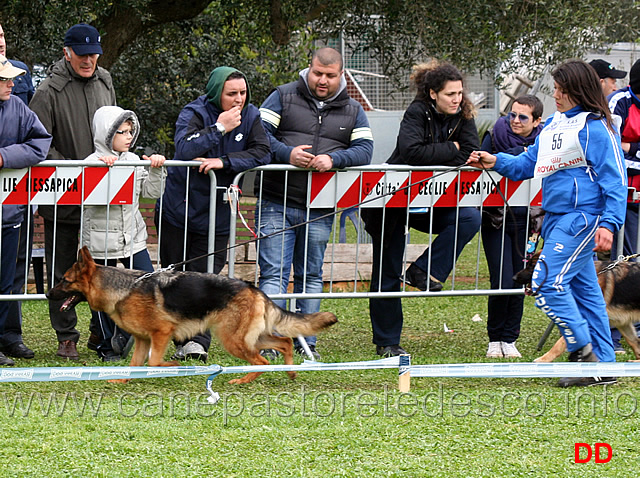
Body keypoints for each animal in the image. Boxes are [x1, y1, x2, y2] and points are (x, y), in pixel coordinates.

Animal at [47, 248, 338, 382]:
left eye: (64, 281)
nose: (48, 295)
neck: (123, 288)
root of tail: (254, 289)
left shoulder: (161, 334)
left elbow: (154, 362)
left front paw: (175, 367)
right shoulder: (142, 340)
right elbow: (136, 364)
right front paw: (122, 379)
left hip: (233, 340)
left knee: (261, 360)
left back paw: (242, 379)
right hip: (247, 337)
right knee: (284, 342)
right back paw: (290, 372)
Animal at [512, 252, 640, 360]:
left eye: (532, 266)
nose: (514, 278)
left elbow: (560, 343)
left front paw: (543, 360)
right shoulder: (623, 322)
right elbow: (634, 342)